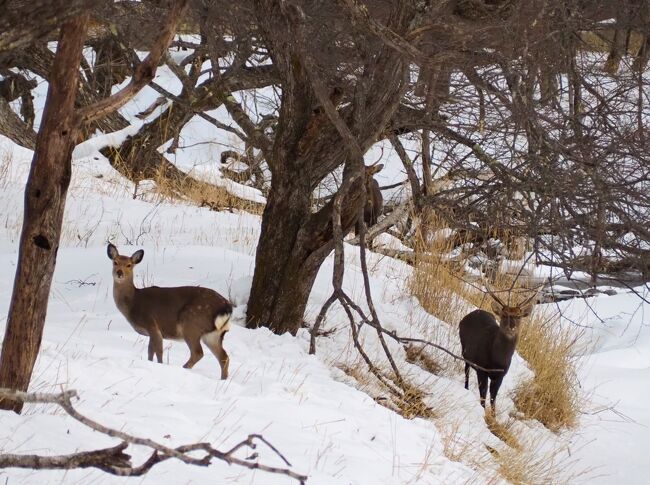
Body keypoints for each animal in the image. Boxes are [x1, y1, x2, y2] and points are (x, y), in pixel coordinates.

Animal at [104, 242, 230, 378]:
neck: (133, 302)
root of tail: (226, 307)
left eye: (129, 265)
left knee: (198, 352)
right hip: (213, 334)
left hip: (191, 323)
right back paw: (223, 379)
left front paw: (160, 366)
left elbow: (158, 351)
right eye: (115, 262)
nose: (119, 273)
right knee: (224, 357)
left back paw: (184, 368)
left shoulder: (152, 324)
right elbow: (150, 352)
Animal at [458, 282, 540, 414]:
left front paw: (493, 415)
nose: (511, 327)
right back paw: (466, 388)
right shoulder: (482, 369)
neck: (497, 360)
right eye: (504, 315)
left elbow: (493, 398)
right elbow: (483, 394)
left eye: (519, 316)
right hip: (464, 348)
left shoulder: (501, 375)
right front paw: (483, 413)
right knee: (466, 370)